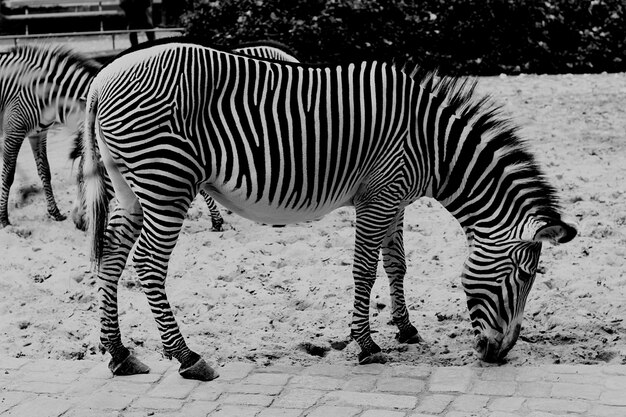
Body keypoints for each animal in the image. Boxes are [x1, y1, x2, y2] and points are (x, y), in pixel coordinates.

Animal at [0, 45, 98, 226]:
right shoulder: (14, 133)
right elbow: (8, 174)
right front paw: (3, 218)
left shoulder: (38, 134)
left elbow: (45, 171)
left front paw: (55, 212)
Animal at [81, 42, 576, 380]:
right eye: (525, 276)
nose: (499, 354)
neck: (434, 146)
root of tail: (102, 79)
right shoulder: (379, 197)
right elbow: (364, 270)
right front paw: (367, 344)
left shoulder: (394, 198)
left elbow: (397, 264)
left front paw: (406, 329)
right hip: (167, 181)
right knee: (148, 264)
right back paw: (188, 357)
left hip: (130, 186)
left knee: (111, 258)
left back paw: (120, 354)